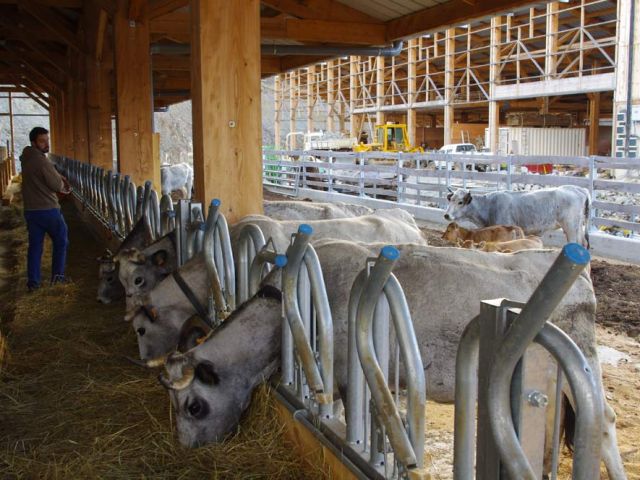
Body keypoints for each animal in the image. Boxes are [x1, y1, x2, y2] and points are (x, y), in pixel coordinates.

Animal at [444, 186, 592, 248]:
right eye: (450, 200)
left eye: (460, 202)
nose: (446, 215)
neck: (489, 205)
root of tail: (580, 189)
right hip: (578, 226)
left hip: (570, 227)